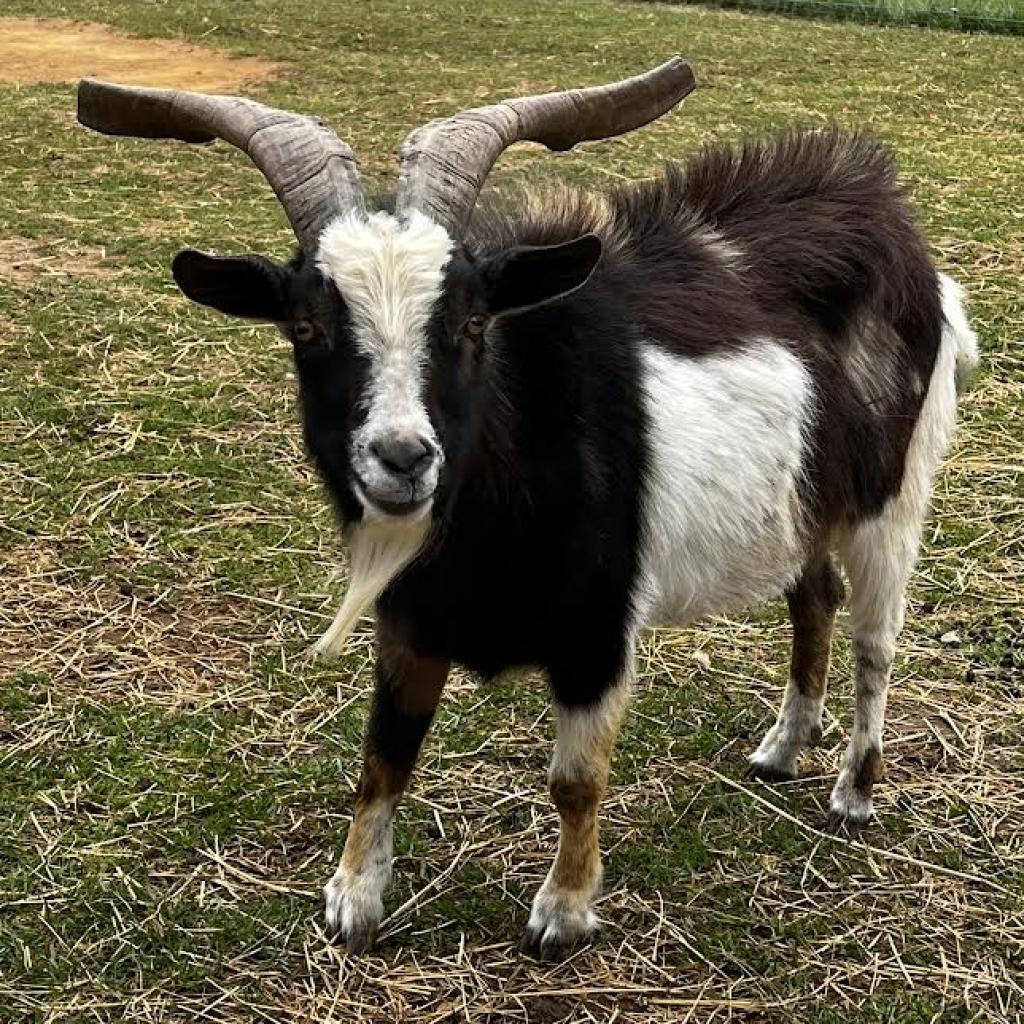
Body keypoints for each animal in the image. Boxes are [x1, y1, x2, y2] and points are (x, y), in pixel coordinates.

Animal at [77, 59, 979, 960]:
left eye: (473, 321)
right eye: (306, 327)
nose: (403, 459)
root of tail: (894, 222)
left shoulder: (598, 631)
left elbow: (574, 780)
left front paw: (564, 911)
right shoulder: (412, 621)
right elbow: (384, 754)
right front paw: (353, 897)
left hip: (893, 498)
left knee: (875, 642)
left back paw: (854, 791)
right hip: (799, 505)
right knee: (815, 597)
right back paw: (784, 748)